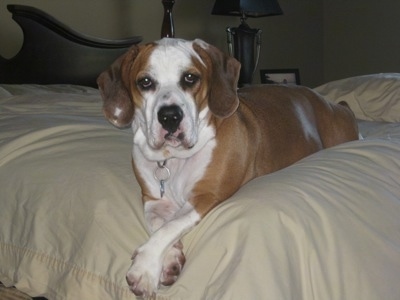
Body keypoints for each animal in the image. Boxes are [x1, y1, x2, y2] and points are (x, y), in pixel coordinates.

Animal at [97, 37, 360, 296]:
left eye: (190, 78)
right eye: (145, 82)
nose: (170, 116)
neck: (172, 158)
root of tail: (336, 104)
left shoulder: (206, 196)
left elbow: (171, 226)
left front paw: (144, 268)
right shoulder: (153, 200)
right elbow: (158, 225)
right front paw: (168, 259)